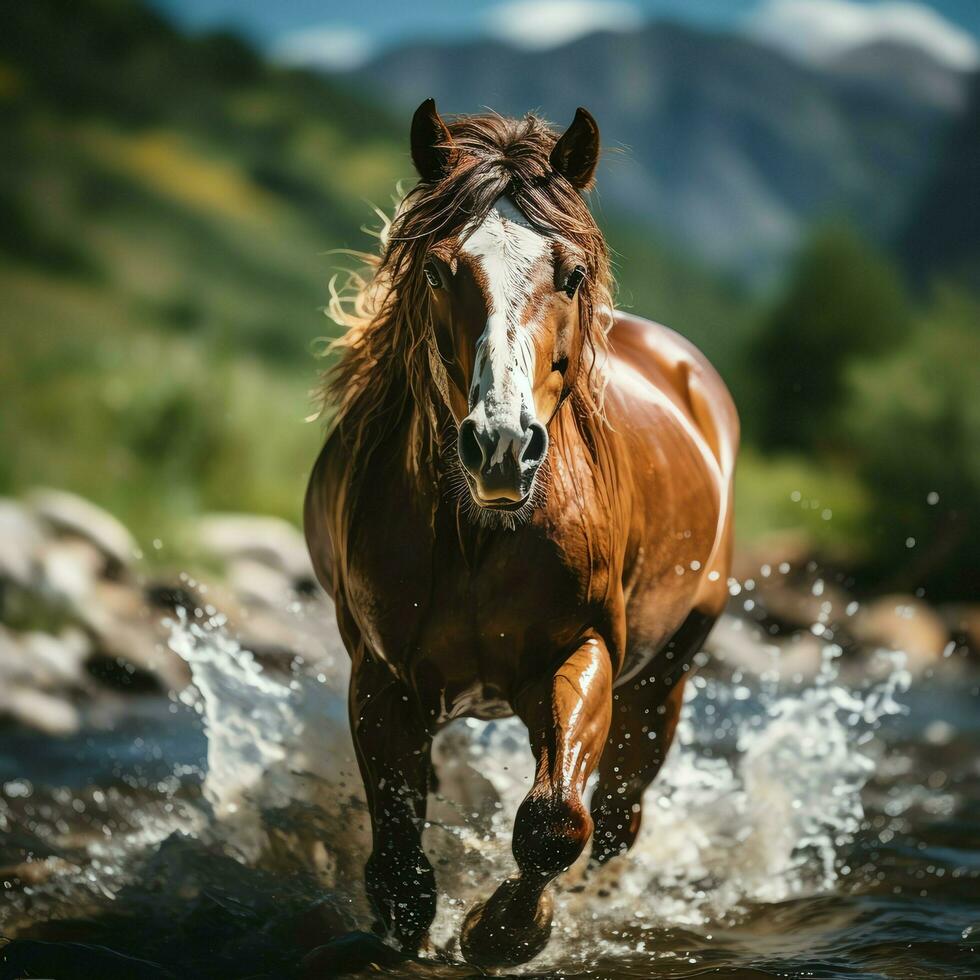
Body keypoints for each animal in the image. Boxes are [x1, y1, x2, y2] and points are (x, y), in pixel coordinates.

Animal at [304, 99, 736, 972]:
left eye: (568, 274)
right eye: (439, 270)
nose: (501, 446)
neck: (481, 538)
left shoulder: (583, 651)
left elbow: (554, 820)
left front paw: (502, 933)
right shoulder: (383, 677)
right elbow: (399, 850)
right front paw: (414, 928)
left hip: (664, 676)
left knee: (615, 820)